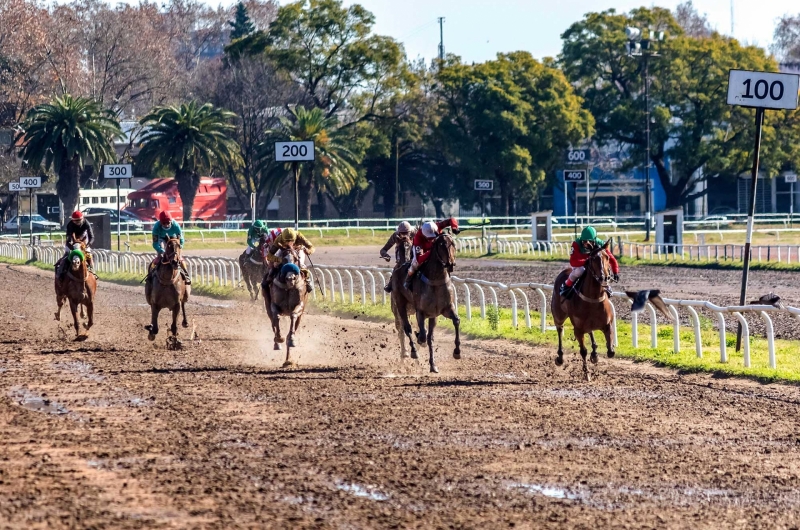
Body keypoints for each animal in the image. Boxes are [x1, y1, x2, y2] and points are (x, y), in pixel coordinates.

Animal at [390, 233, 460, 374]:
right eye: (441, 245)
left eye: (453, 244)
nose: (451, 263)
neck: (435, 280)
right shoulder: (420, 312)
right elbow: (422, 335)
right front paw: (419, 342)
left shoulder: (444, 309)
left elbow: (455, 321)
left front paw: (456, 352)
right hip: (400, 304)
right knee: (406, 328)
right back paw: (412, 352)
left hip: (432, 316)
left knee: (427, 336)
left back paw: (431, 364)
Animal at [552, 237, 616, 378]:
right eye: (593, 258)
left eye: (607, 257)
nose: (604, 277)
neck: (593, 299)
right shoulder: (578, 330)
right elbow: (583, 351)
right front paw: (587, 374)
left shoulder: (607, 325)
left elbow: (610, 352)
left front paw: (596, 355)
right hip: (558, 315)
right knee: (559, 329)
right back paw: (560, 357)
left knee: (590, 331)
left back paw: (595, 353)